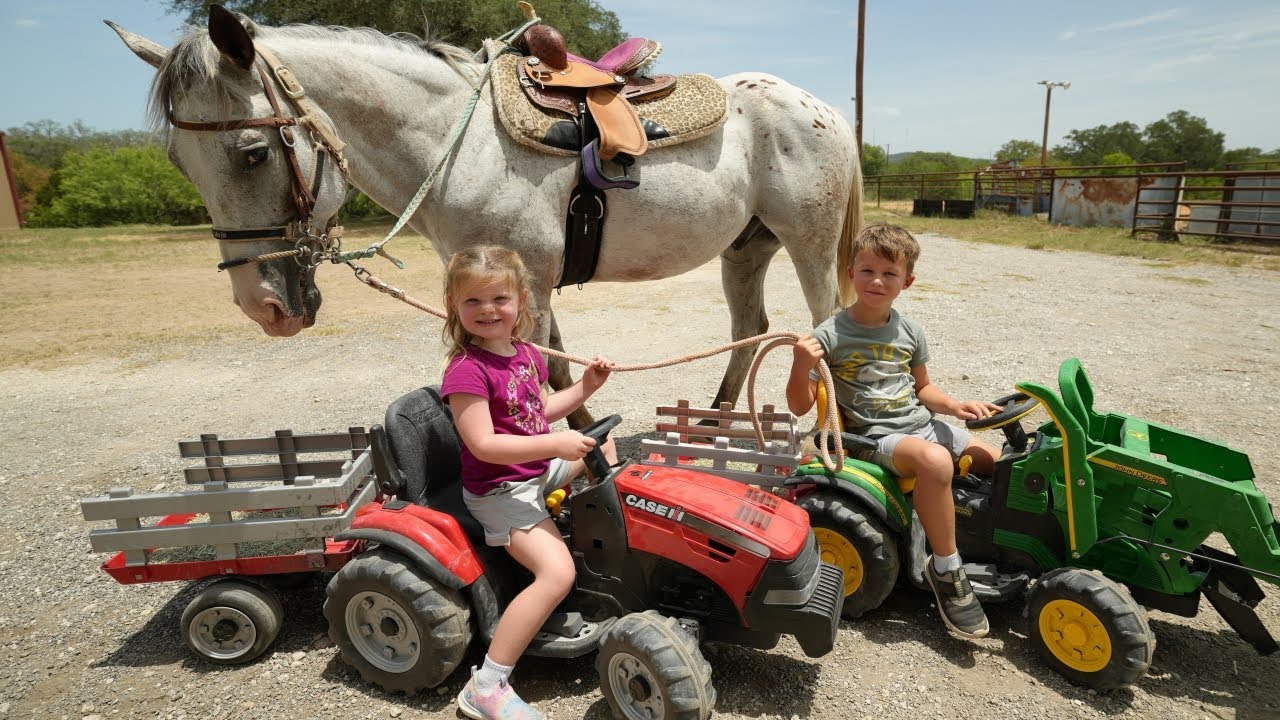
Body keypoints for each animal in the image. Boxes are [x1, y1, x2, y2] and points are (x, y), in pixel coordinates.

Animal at [112, 7, 860, 420]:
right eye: (179, 161)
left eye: (251, 152)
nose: (261, 306)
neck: (459, 142)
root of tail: (820, 105)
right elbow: (551, 368)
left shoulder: (530, 279)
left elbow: (542, 369)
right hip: (747, 247)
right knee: (750, 327)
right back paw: (714, 422)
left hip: (809, 241)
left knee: (823, 324)